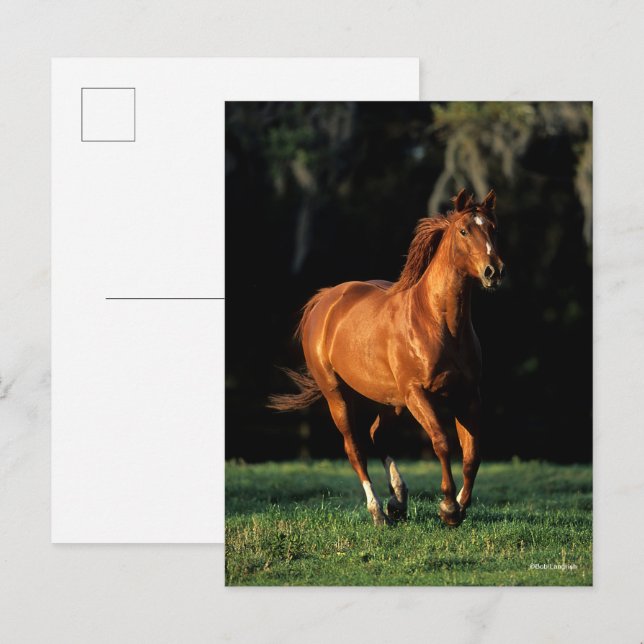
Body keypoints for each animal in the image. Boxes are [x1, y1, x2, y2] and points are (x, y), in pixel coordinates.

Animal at [268, 189, 504, 527]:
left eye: (494, 229)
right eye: (463, 230)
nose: (493, 271)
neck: (437, 322)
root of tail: (325, 299)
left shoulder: (468, 395)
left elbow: (472, 453)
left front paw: (460, 507)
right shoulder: (418, 393)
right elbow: (442, 443)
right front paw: (447, 507)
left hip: (390, 401)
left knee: (376, 435)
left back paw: (398, 501)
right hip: (338, 395)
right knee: (355, 447)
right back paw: (378, 511)